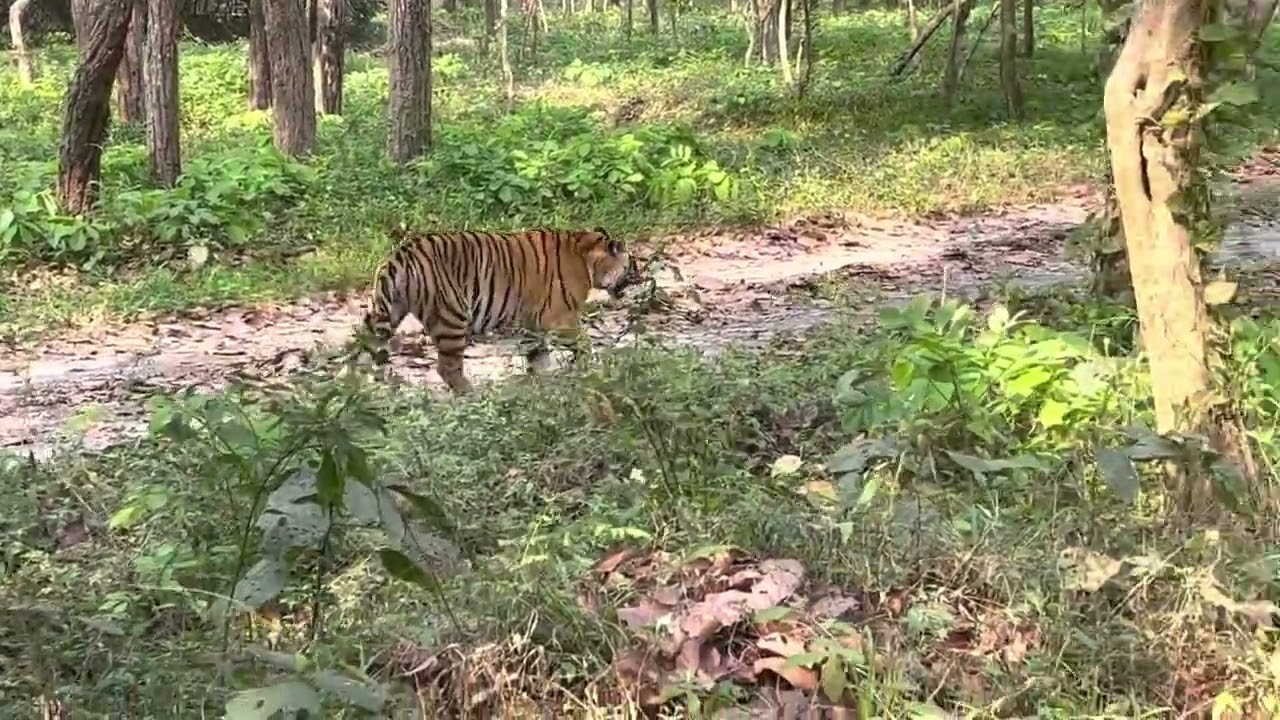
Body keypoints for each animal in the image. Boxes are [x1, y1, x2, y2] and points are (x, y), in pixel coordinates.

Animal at [355, 226, 633, 395]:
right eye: (633, 264)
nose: (639, 276)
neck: (586, 254)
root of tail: (401, 254)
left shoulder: (532, 323)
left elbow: (537, 356)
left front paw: (538, 385)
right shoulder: (559, 320)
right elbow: (584, 343)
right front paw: (588, 371)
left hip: (384, 312)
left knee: (362, 352)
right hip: (452, 317)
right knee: (447, 367)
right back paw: (470, 393)